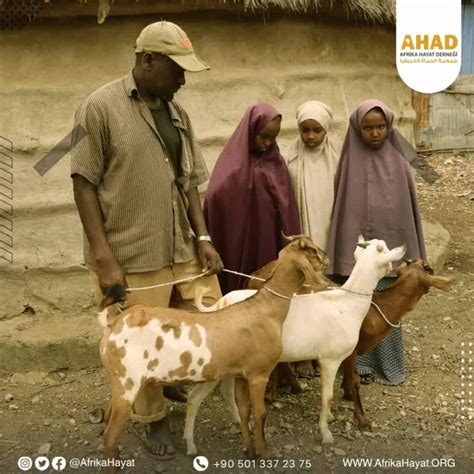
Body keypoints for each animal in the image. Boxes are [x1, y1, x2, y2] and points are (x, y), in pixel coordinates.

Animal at [98, 235, 328, 468]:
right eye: (312, 251)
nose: (326, 257)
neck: (265, 309)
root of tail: (113, 323)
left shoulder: (242, 375)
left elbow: (244, 411)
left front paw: (249, 450)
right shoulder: (258, 374)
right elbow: (260, 413)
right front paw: (265, 455)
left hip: (121, 384)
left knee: (107, 424)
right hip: (128, 384)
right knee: (111, 437)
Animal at [184, 237, 404, 452]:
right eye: (382, 248)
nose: (402, 249)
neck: (346, 304)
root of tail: (218, 305)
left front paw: (329, 419)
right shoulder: (331, 359)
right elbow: (327, 396)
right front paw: (326, 434)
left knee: (220, 393)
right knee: (196, 397)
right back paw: (192, 444)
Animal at [340, 260, 452, 430]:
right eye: (427, 267)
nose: (430, 266)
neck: (376, 309)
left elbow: (347, 376)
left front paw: (347, 394)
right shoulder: (350, 349)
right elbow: (354, 380)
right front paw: (362, 419)